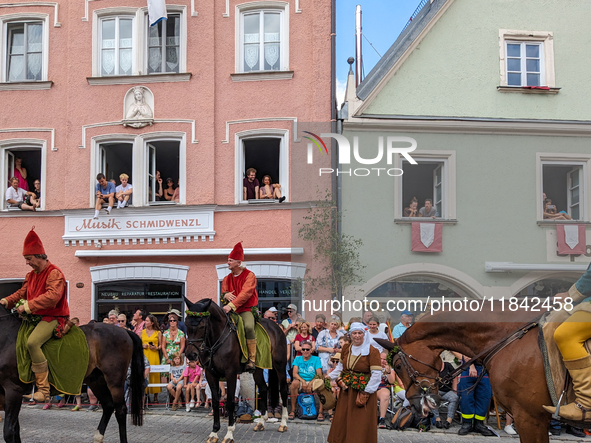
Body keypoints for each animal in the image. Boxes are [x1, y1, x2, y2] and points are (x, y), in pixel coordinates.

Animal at [0, 306, 144, 443]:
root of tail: (123, 331)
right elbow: (15, 430)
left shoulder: (13, 390)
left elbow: (9, 432)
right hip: (96, 380)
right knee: (108, 406)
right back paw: (98, 437)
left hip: (115, 382)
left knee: (120, 410)